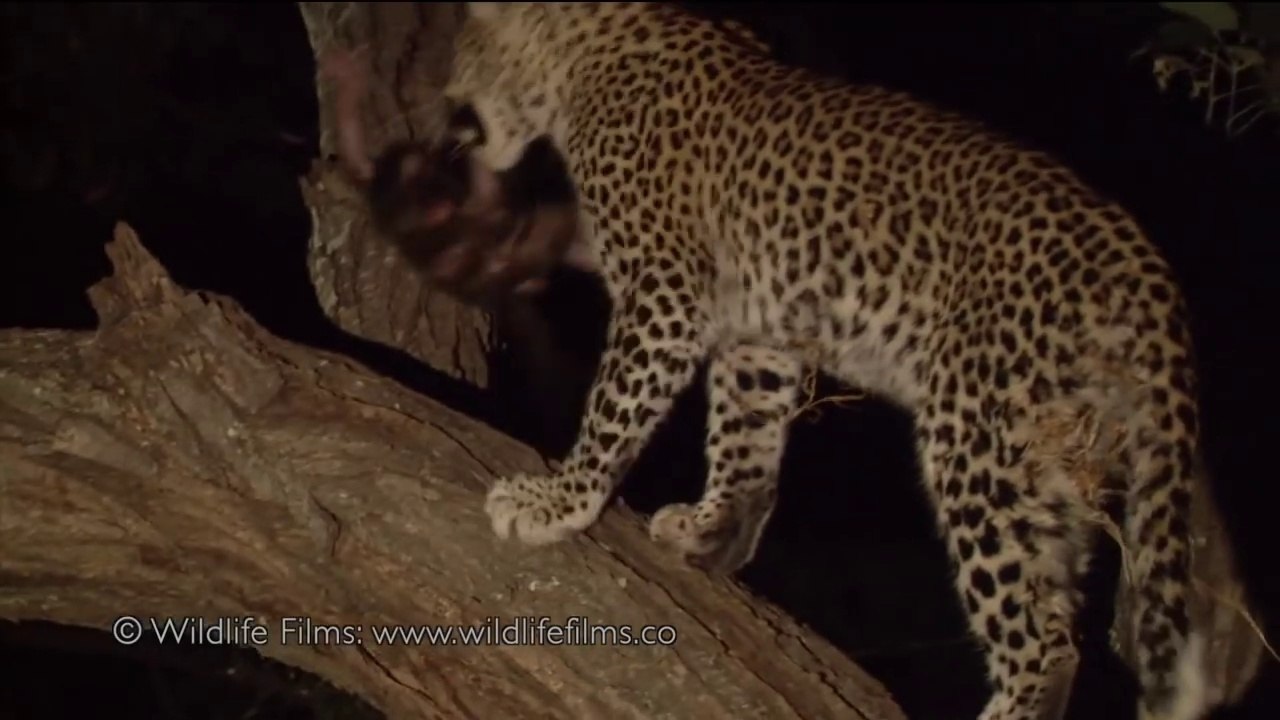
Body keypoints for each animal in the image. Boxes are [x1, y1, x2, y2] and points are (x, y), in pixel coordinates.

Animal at [437, 3, 1215, 719]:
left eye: (463, 59)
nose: (447, 117)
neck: (579, 61)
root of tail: (1146, 272)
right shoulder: (757, 329)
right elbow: (745, 432)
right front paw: (714, 528)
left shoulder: (664, 293)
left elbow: (615, 408)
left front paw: (556, 501)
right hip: (1052, 458)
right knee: (1062, 603)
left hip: (978, 437)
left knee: (1040, 634)